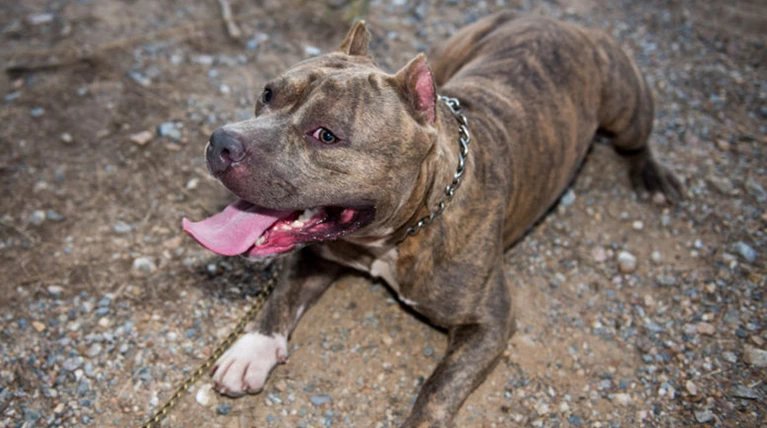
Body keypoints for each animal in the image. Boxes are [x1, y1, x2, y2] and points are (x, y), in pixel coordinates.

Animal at [183, 11, 682, 426]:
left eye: (326, 135)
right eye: (267, 94)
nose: (222, 141)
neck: (403, 231)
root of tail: (559, 18)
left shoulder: (489, 324)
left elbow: (438, 389)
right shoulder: (319, 254)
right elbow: (282, 297)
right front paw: (252, 350)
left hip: (626, 108)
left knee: (639, 138)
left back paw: (654, 176)